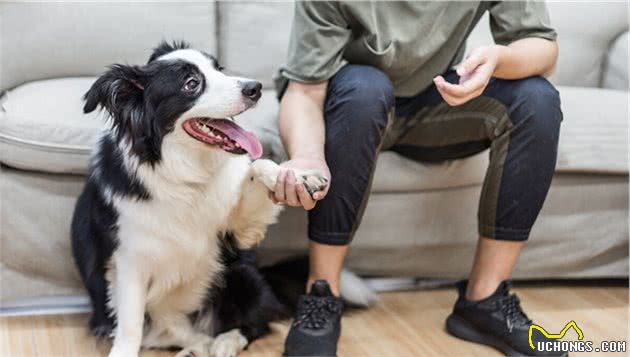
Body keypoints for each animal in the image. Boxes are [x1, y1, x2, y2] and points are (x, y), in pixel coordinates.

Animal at [72, 41, 330, 356]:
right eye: (191, 84)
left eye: (219, 68)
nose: (255, 87)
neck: (186, 178)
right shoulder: (128, 261)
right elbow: (130, 323)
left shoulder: (238, 234)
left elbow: (258, 165)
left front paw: (297, 176)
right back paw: (199, 346)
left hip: (240, 274)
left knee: (255, 323)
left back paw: (224, 342)